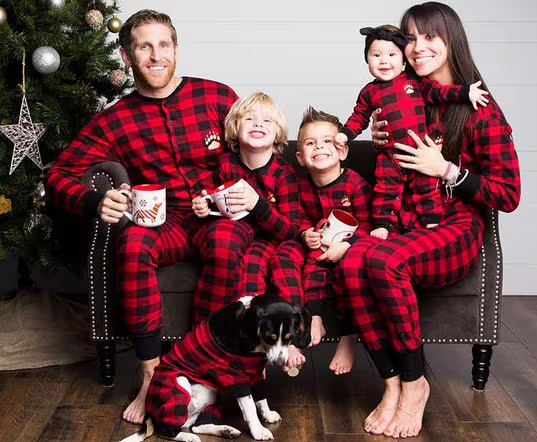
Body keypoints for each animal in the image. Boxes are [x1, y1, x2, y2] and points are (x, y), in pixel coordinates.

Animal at [119, 294, 308, 442]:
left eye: (289, 338)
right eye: (270, 338)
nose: (279, 363)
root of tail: (150, 413)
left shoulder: (257, 374)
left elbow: (261, 399)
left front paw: (267, 415)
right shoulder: (235, 377)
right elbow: (250, 408)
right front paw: (258, 430)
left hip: (212, 396)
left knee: (196, 425)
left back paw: (225, 430)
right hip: (180, 384)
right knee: (165, 430)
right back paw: (188, 437)